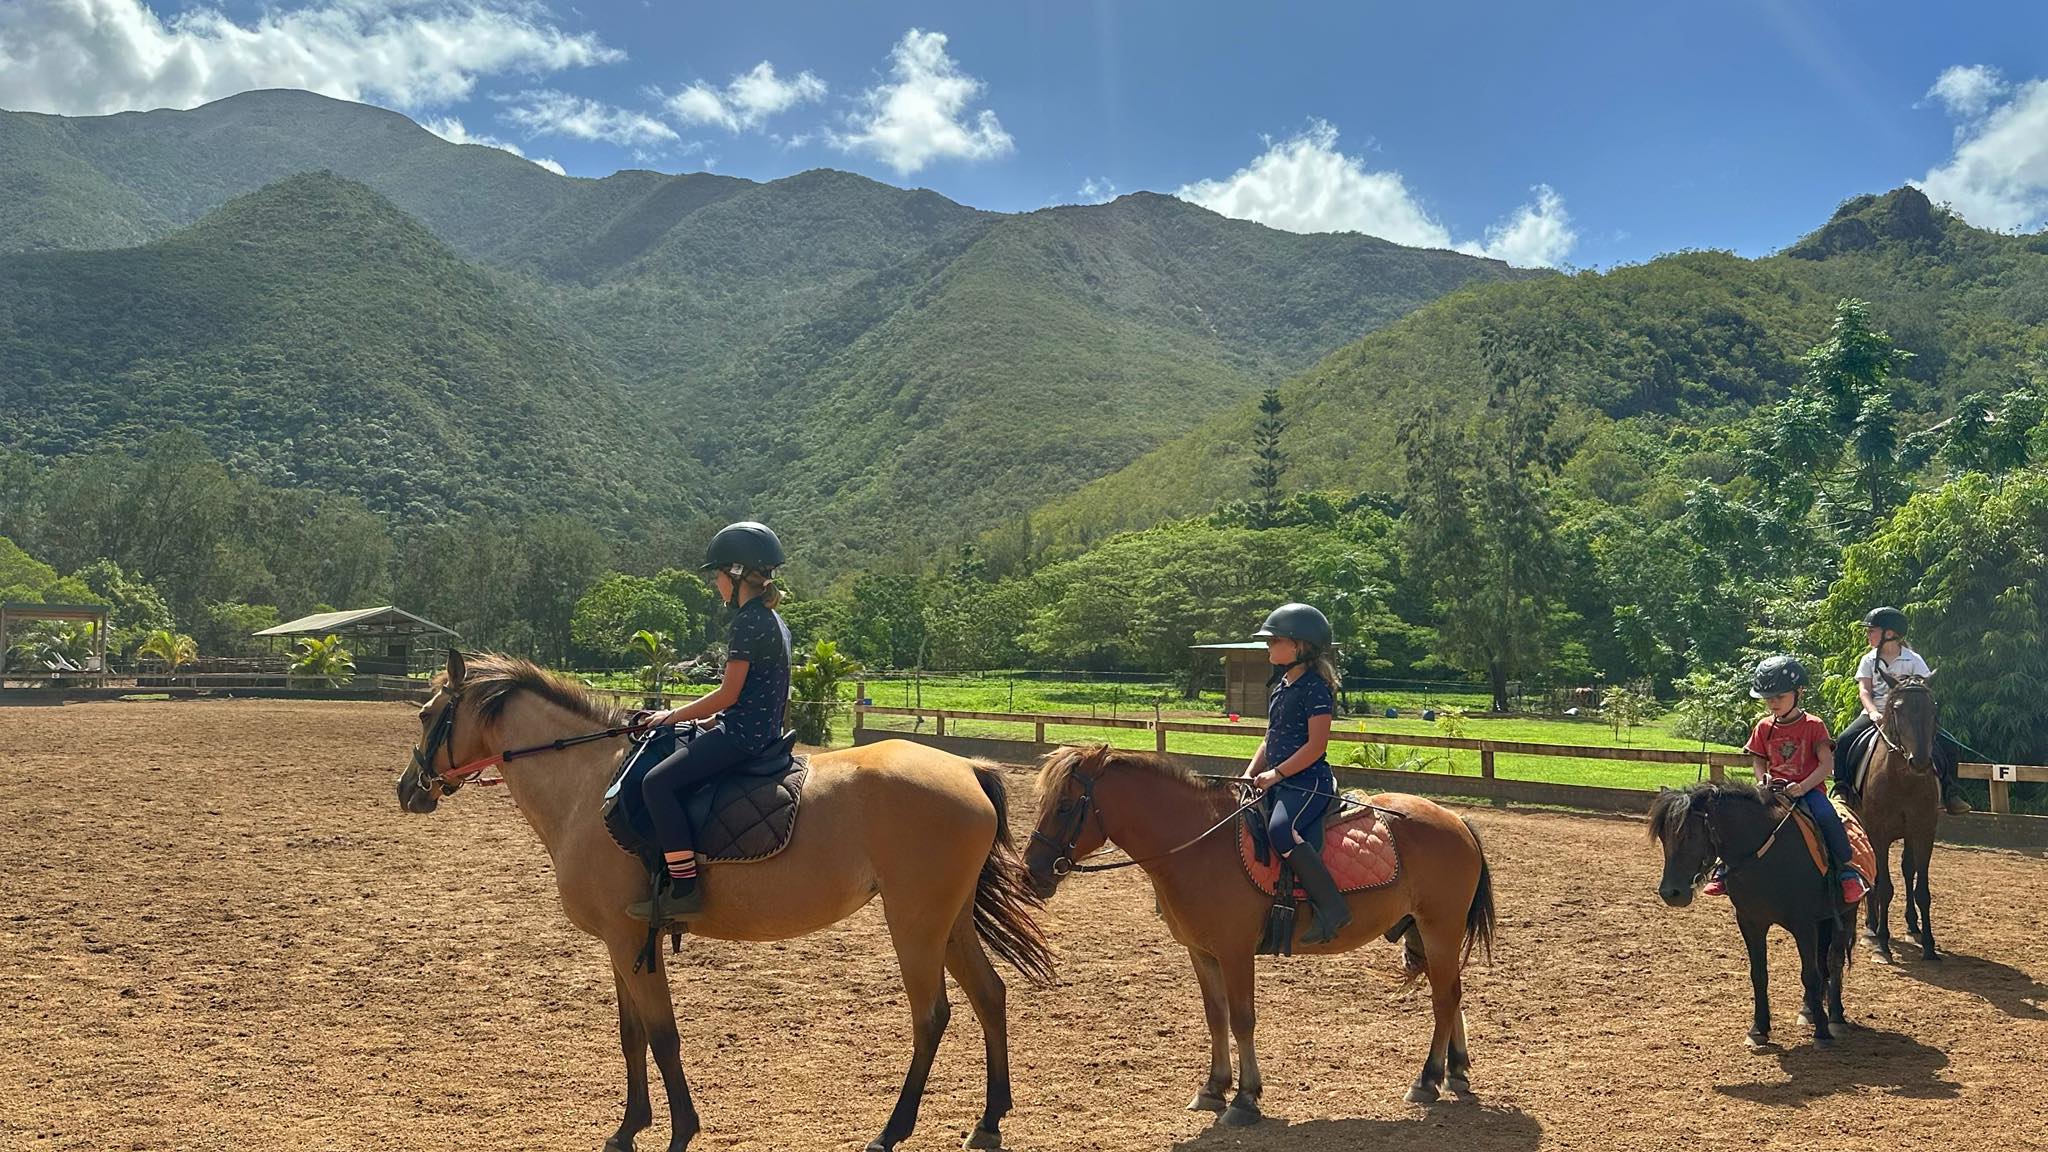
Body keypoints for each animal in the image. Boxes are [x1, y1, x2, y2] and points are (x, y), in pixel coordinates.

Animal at [393, 651, 1056, 1147]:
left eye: (427, 714)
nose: (407, 790)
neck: (591, 785)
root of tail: (967, 770)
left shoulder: (630, 938)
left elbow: (662, 1034)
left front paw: (680, 1131)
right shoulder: (620, 940)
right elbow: (631, 1032)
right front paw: (627, 1128)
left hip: (915, 921)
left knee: (933, 1014)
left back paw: (891, 1131)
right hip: (949, 920)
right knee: (989, 995)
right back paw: (989, 1121)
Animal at [1019, 733, 1490, 1123]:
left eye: (1065, 807)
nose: (1032, 873)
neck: (1198, 845)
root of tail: (1456, 821)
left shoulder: (1235, 951)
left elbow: (1243, 1019)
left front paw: (1245, 1099)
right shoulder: (1201, 952)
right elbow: (1216, 1017)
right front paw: (1213, 1088)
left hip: (1439, 928)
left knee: (1444, 998)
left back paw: (1427, 1079)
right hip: (1421, 931)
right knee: (1451, 993)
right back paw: (1454, 1071)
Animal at [1646, 774, 1859, 1045]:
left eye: (1689, 835)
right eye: (1664, 838)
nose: (1670, 893)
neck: (1765, 856)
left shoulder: (1803, 924)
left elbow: (1810, 974)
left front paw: (1822, 1032)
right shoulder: (1751, 922)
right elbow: (1759, 974)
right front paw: (1759, 1029)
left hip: (1846, 914)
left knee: (1834, 962)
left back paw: (1836, 1017)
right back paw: (1808, 1010)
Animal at [1851, 668, 1941, 963]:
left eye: (1932, 710)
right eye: (1898, 709)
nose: (1920, 762)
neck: (1903, 780)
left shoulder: (1923, 833)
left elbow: (1921, 890)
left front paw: (1929, 945)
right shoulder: (1879, 834)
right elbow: (1884, 887)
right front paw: (1882, 943)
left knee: (1907, 869)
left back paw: (1913, 926)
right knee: (1874, 877)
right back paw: (1871, 927)